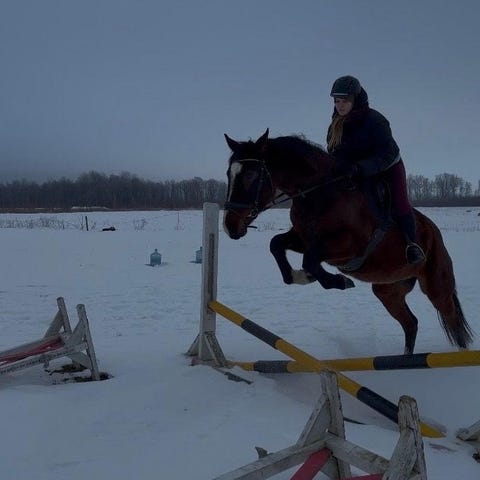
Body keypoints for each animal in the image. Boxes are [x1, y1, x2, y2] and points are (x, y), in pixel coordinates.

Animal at [222, 129, 473, 355]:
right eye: (228, 174)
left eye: (251, 176)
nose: (230, 226)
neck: (319, 192)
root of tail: (435, 233)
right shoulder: (303, 238)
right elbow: (276, 245)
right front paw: (301, 277)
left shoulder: (349, 246)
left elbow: (310, 259)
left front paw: (338, 281)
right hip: (388, 290)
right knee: (410, 323)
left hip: (437, 287)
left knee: (453, 321)